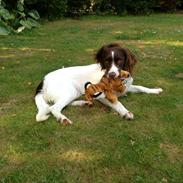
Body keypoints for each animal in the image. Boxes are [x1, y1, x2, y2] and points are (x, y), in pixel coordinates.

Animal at [34, 43, 163, 124]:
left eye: (119, 61)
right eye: (107, 61)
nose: (111, 75)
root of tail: (43, 81)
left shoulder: (127, 86)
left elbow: (141, 87)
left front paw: (155, 90)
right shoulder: (103, 96)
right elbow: (117, 103)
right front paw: (125, 112)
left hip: (74, 92)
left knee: (63, 104)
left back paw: (83, 103)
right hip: (69, 91)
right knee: (54, 108)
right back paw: (63, 119)